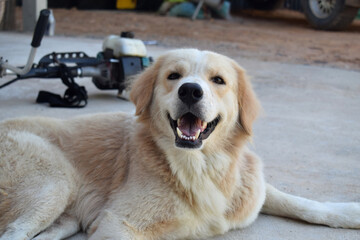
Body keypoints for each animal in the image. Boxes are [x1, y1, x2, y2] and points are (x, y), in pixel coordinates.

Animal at [0, 49, 358, 240]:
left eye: (218, 80)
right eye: (173, 76)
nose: (190, 91)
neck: (201, 167)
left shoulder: (250, 189)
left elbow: (301, 203)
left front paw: (348, 211)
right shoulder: (117, 224)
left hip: (65, 216)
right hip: (54, 183)